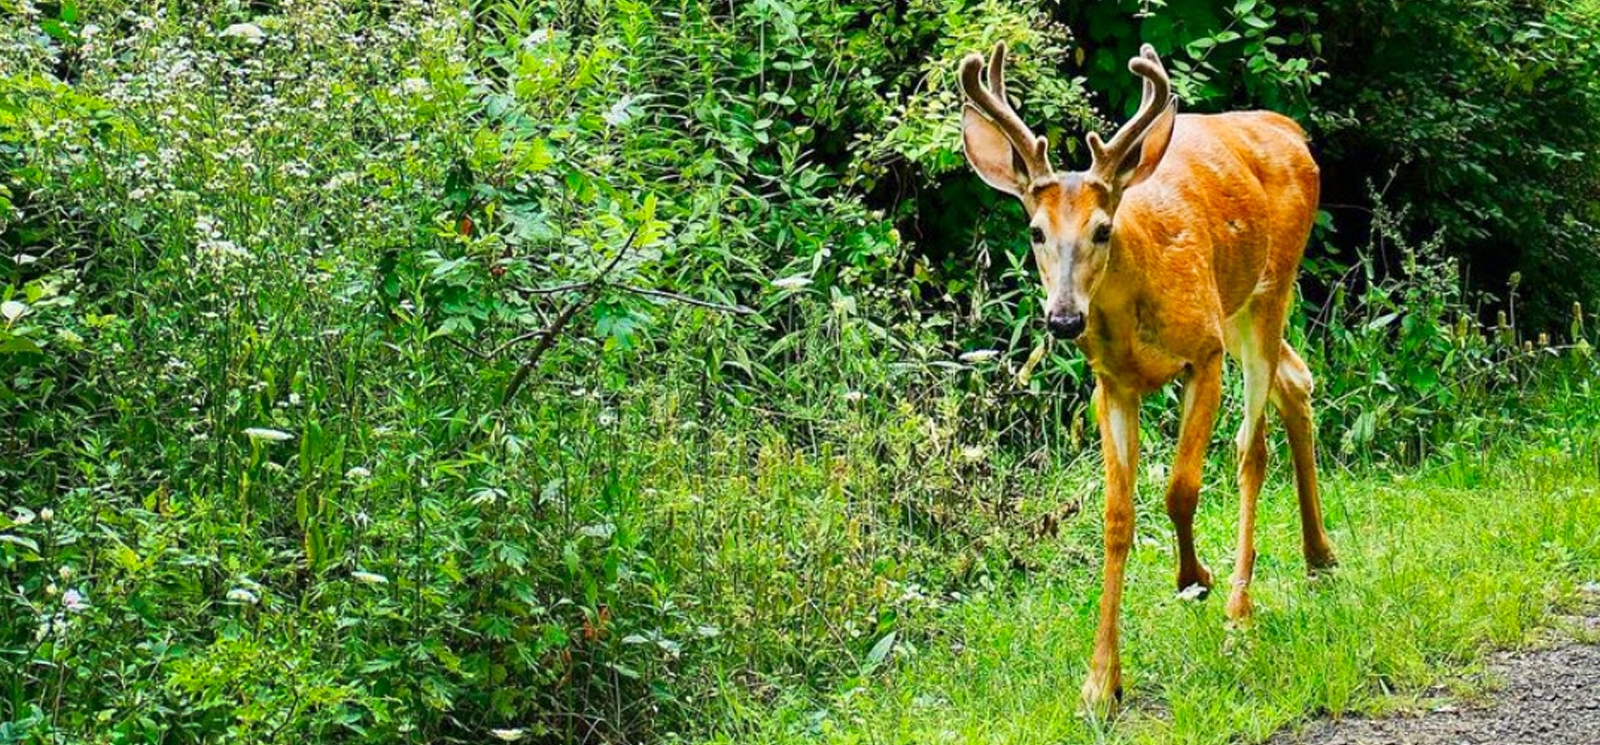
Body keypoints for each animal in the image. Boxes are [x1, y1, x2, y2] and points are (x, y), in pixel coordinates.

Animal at [958, 42, 1339, 712]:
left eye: (1101, 229)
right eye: (1035, 231)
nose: (1063, 318)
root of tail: (1289, 130)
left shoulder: (1203, 355)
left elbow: (1181, 488)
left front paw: (1195, 578)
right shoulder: (1112, 384)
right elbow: (1117, 518)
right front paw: (1099, 683)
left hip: (1270, 291)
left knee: (1252, 448)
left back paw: (1239, 610)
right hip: (1238, 307)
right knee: (1298, 378)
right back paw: (1319, 557)